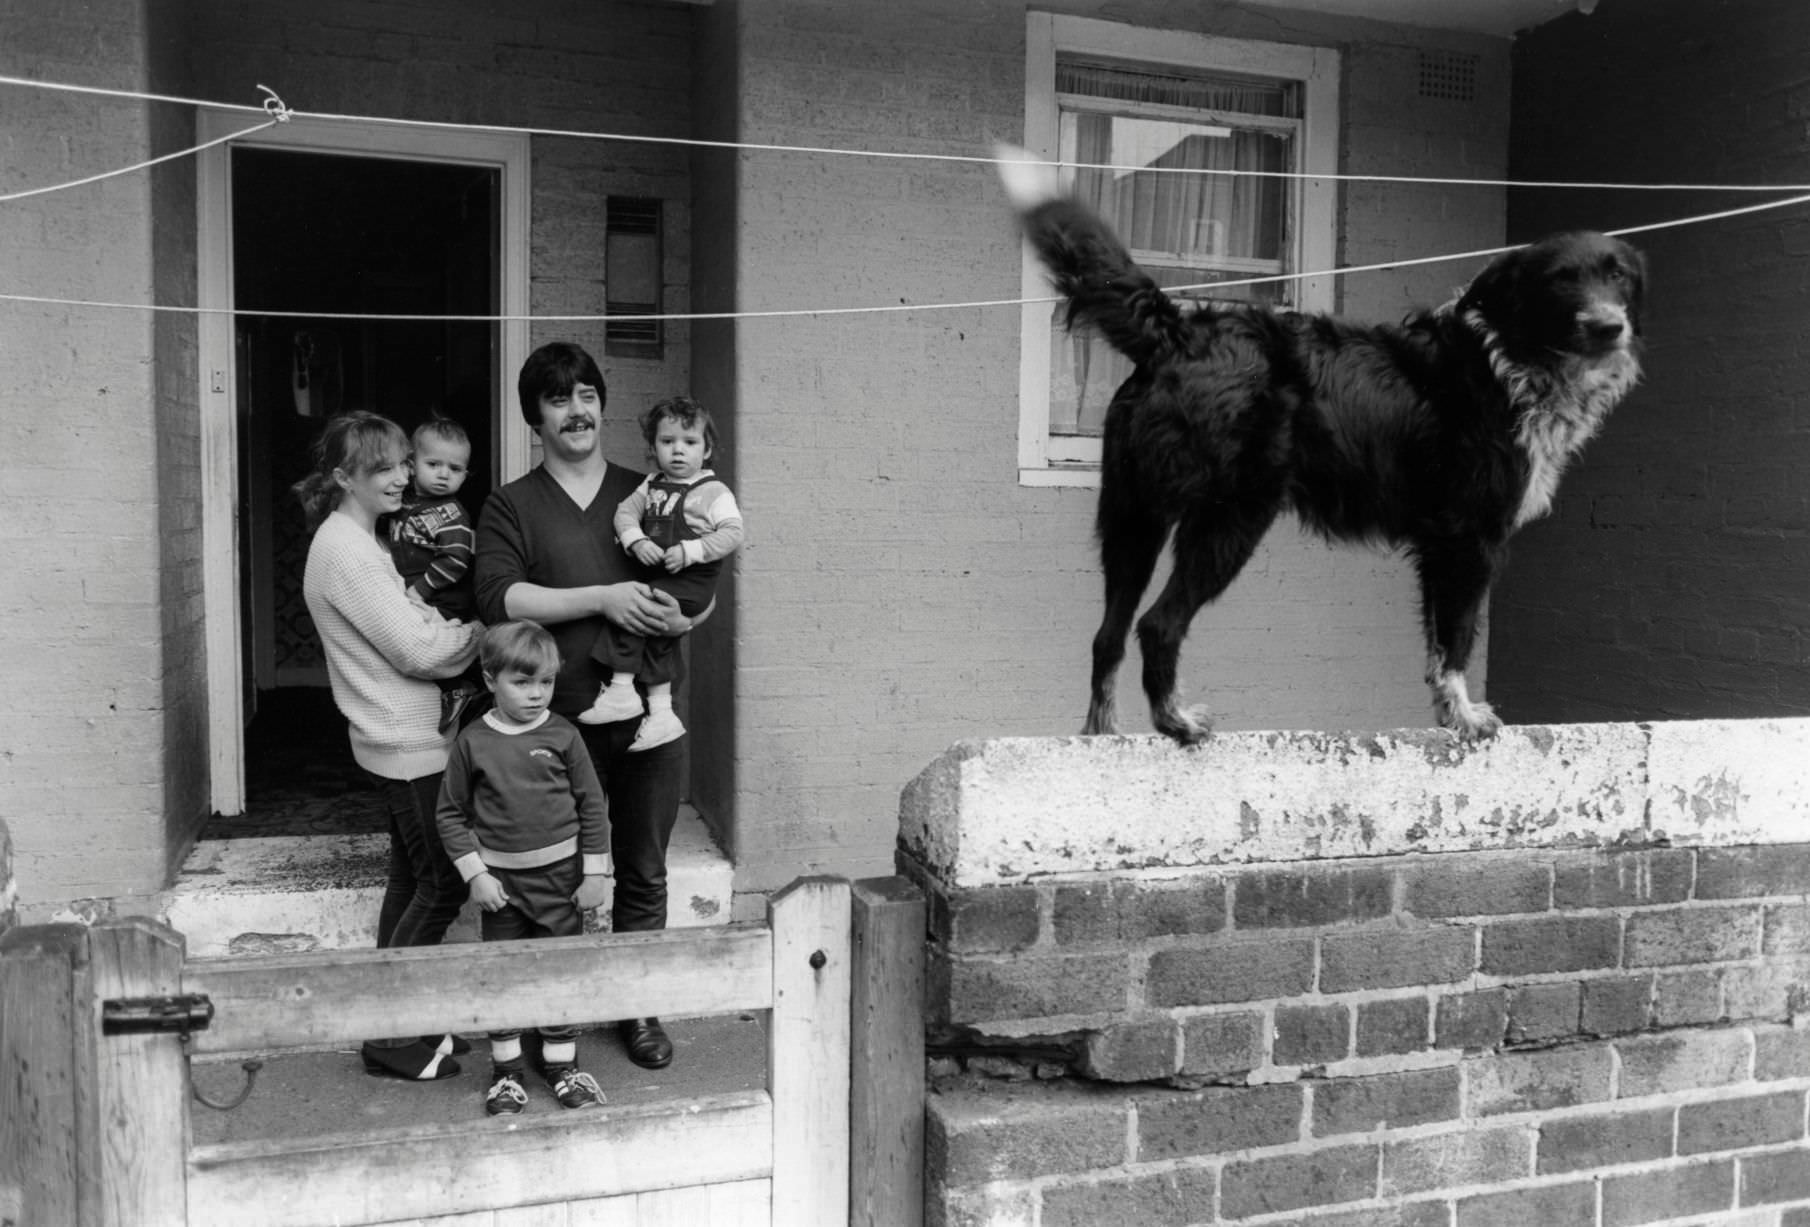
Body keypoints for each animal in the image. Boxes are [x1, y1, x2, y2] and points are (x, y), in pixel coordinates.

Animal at [999, 142, 1650, 741]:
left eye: (1617, 275)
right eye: (1560, 281)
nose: (1608, 327)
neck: (1506, 357)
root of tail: (1179, 330)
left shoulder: (1438, 546)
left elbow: (1437, 649)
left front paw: (1447, 715)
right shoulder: (1471, 540)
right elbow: (1458, 639)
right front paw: (1467, 719)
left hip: (1133, 519)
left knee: (1107, 635)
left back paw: (1103, 735)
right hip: (1228, 520)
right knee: (1158, 624)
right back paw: (1177, 721)